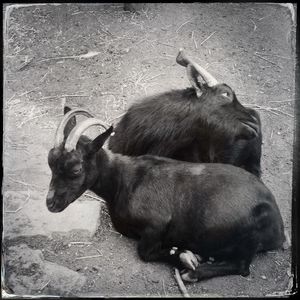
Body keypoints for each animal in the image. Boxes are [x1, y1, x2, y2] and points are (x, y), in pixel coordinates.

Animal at [45, 109, 284, 282]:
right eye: (50, 162)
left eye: (76, 169)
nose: (51, 203)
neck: (124, 181)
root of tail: (280, 232)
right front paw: (186, 254)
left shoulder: (157, 223)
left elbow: (144, 252)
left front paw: (185, 257)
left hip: (252, 233)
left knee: (242, 266)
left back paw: (194, 273)